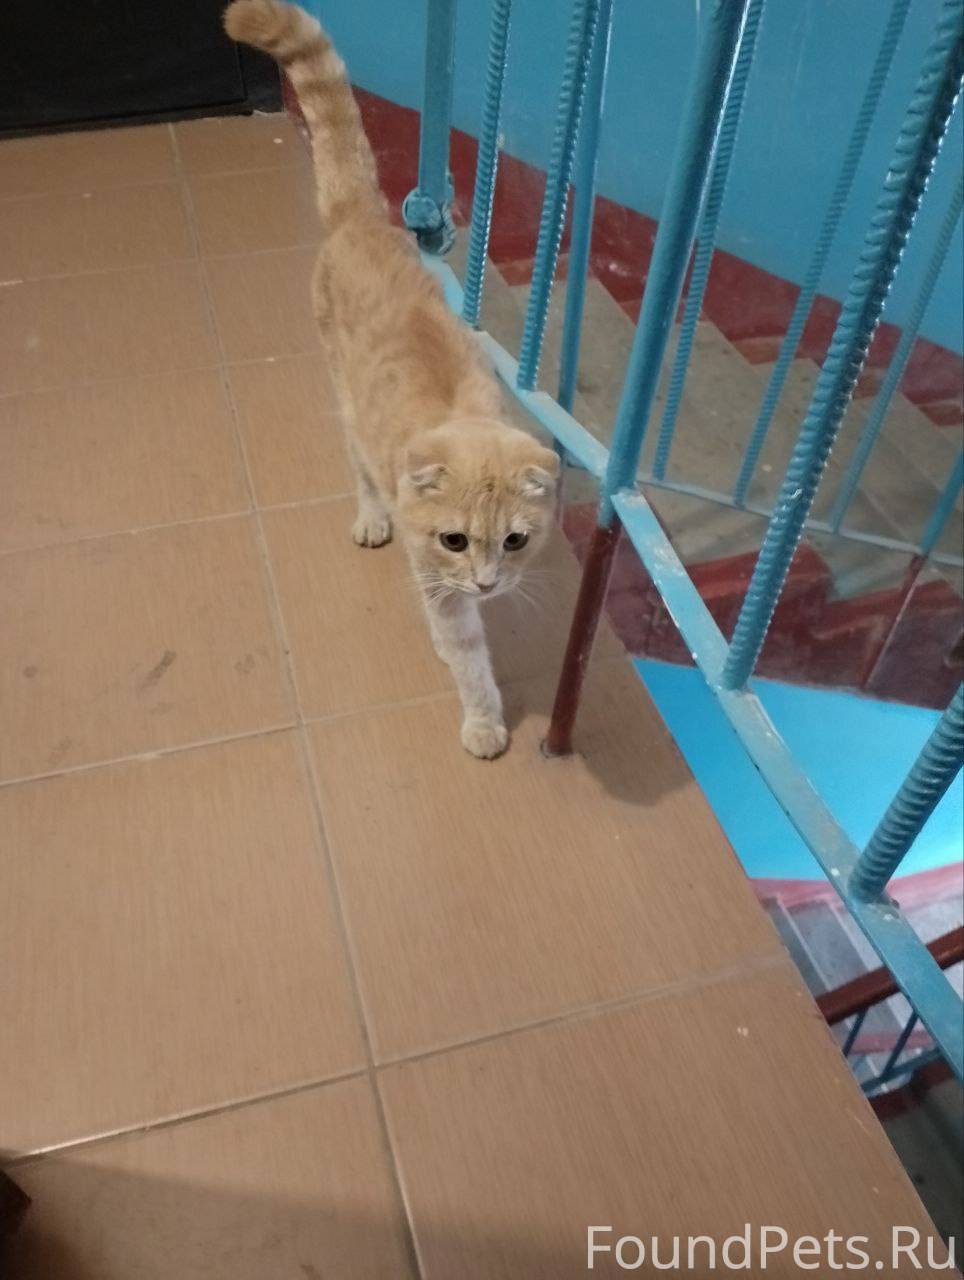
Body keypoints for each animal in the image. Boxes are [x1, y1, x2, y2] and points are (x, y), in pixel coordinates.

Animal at [224, 0, 559, 759]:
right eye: (455, 539)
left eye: (517, 540)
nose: (489, 583)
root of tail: (364, 220)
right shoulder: (437, 575)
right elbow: (465, 651)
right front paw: (483, 717)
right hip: (345, 400)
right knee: (359, 467)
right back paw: (372, 516)